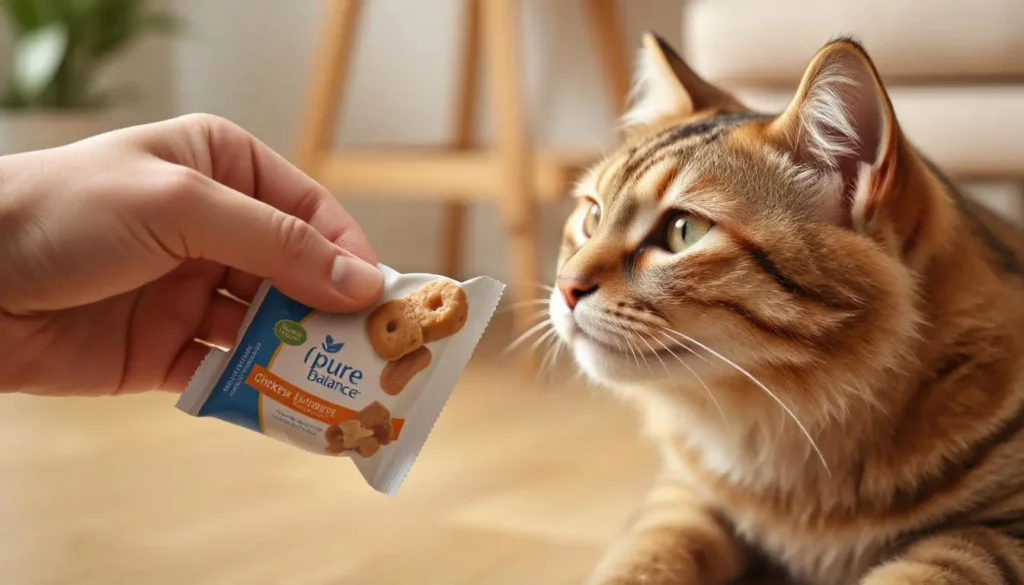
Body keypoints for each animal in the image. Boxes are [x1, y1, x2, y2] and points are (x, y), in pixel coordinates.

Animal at [548, 30, 1024, 585]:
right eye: (592, 215)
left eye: (684, 230)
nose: (565, 285)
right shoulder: (682, 494)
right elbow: (643, 556)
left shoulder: (996, 534)